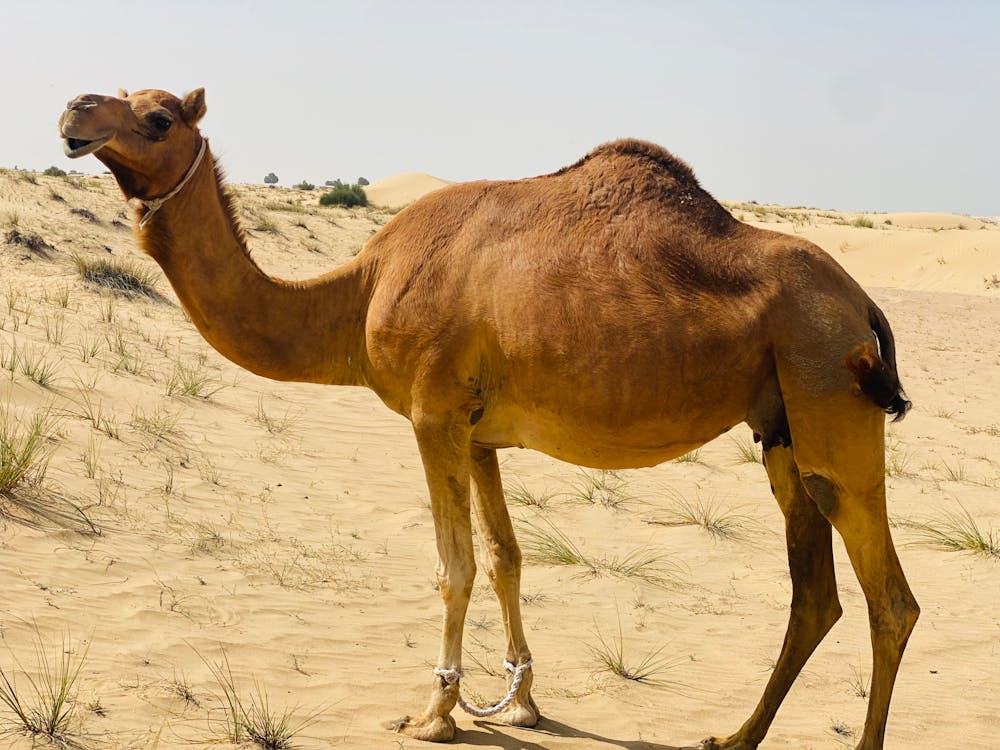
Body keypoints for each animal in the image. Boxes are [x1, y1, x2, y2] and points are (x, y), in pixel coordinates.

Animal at [58, 89, 916, 750]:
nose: (74, 111)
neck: (357, 296)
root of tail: (863, 302)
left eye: (158, 116)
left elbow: (456, 565)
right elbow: (507, 558)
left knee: (889, 600)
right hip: (780, 427)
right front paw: (525, 701)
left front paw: (436, 713)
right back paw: (734, 736)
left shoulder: (432, 412)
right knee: (816, 595)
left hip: (826, 384)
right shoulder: (479, 432)